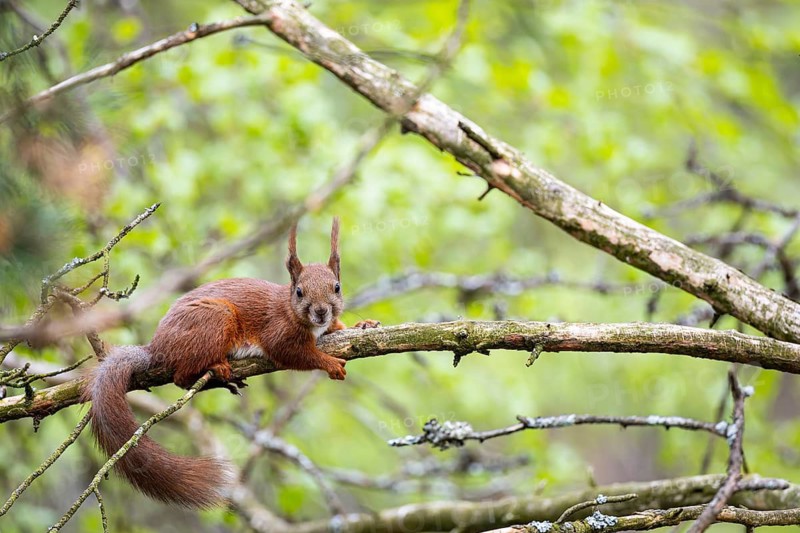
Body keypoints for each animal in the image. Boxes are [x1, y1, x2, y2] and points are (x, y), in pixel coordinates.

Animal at [82, 217, 379, 508]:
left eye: (337, 287)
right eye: (299, 292)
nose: (320, 312)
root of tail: (156, 348)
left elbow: (338, 328)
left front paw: (363, 324)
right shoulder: (278, 333)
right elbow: (292, 354)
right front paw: (329, 362)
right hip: (216, 318)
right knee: (181, 377)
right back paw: (216, 368)